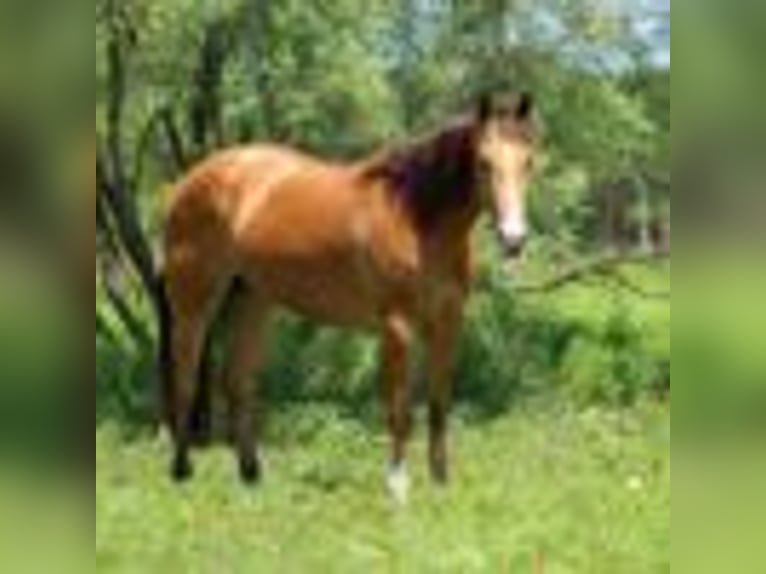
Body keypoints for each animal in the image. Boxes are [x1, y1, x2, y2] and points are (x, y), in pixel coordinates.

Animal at [161, 91, 537, 501]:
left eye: (529, 161)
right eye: (484, 163)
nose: (514, 239)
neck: (414, 217)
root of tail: (189, 181)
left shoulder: (448, 322)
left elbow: (439, 405)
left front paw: (441, 484)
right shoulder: (398, 327)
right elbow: (400, 408)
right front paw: (398, 487)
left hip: (253, 299)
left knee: (238, 381)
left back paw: (251, 475)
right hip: (194, 301)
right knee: (185, 376)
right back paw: (181, 471)